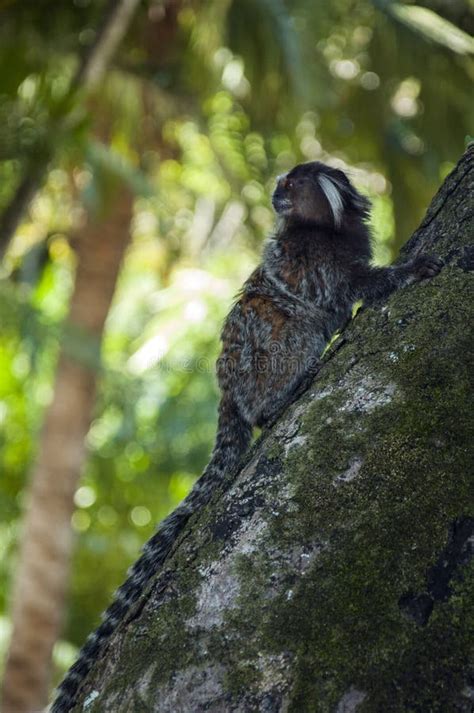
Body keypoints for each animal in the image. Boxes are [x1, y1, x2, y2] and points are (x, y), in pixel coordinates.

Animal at [51, 161, 440, 712]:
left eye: (289, 185)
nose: (276, 195)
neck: (326, 230)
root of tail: (229, 389)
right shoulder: (313, 265)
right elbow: (340, 291)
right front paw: (409, 271)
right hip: (263, 360)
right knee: (290, 322)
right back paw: (284, 393)